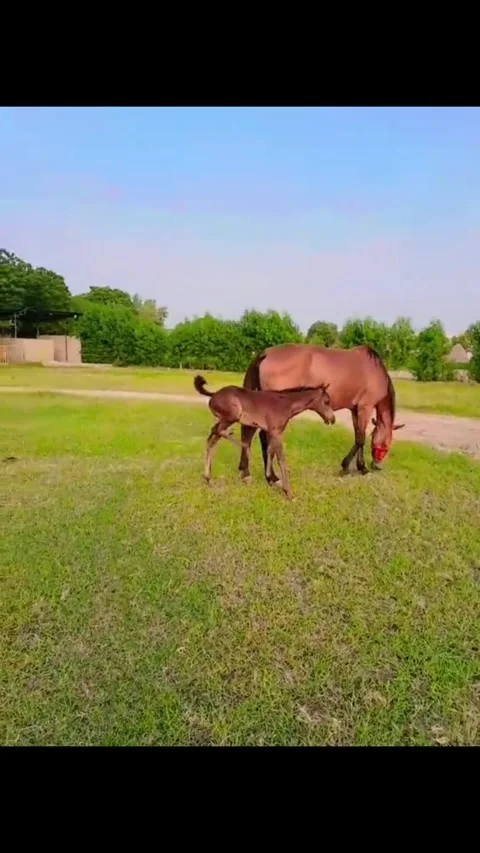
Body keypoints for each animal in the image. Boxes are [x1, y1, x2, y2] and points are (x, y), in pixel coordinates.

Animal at [194, 375, 335, 499]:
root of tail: (214, 394)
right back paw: (238, 441)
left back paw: (208, 478)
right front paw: (288, 492)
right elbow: (281, 458)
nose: (332, 419)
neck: (286, 405)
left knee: (212, 439)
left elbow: (270, 451)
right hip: (232, 416)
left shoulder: (270, 432)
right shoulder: (276, 432)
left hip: (226, 419)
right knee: (216, 431)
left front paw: (271, 478)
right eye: (326, 401)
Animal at [238, 344, 405, 483]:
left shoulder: (354, 409)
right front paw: (358, 468)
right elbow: (361, 439)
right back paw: (272, 477)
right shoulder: (365, 407)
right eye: (386, 444)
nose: (377, 465)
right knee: (264, 437)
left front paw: (353, 467)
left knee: (249, 434)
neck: (375, 372)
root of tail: (265, 354)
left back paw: (250, 474)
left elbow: (358, 435)